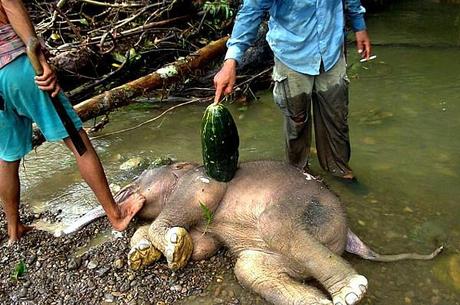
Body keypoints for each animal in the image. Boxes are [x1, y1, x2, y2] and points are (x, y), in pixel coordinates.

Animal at [69, 159, 442, 304]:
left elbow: (196, 199)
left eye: (139, 179)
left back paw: (352, 292)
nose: (121, 195)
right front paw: (147, 254)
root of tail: (348, 233)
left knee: (277, 229)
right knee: (249, 270)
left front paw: (173, 247)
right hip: (274, 255)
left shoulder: (201, 180)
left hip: (303, 208)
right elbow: (202, 246)